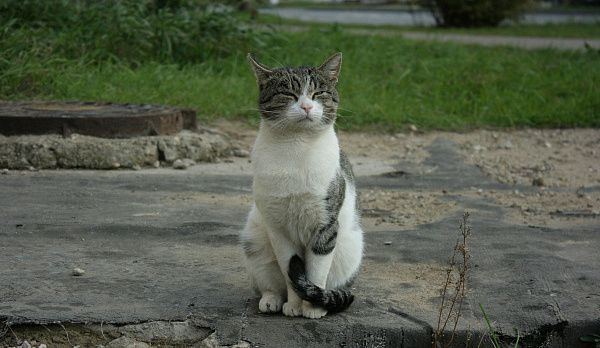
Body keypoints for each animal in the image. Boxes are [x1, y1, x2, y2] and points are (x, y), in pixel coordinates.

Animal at [240, 51, 364, 318]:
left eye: (318, 93)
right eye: (289, 94)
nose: (306, 106)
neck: (296, 146)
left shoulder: (326, 226)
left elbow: (315, 274)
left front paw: (313, 308)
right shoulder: (278, 229)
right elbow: (290, 272)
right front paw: (294, 305)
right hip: (254, 243)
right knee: (269, 285)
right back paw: (272, 301)